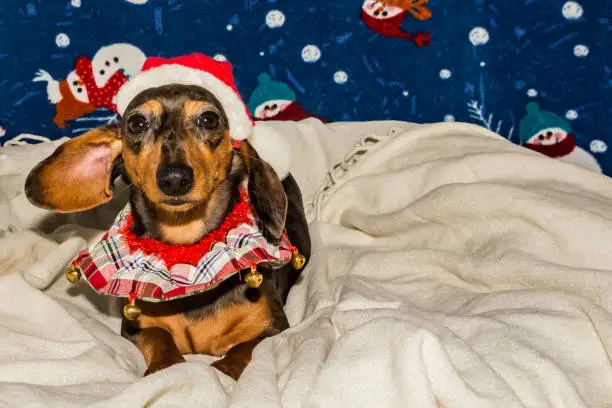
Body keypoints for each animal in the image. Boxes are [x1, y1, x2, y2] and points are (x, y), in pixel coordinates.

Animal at [23, 83, 310, 380]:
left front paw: (225, 369)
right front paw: (166, 366)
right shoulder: (137, 327)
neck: (187, 248)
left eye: (209, 119)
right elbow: (160, 339)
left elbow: (244, 348)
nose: (174, 178)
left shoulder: (273, 328)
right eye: (137, 123)